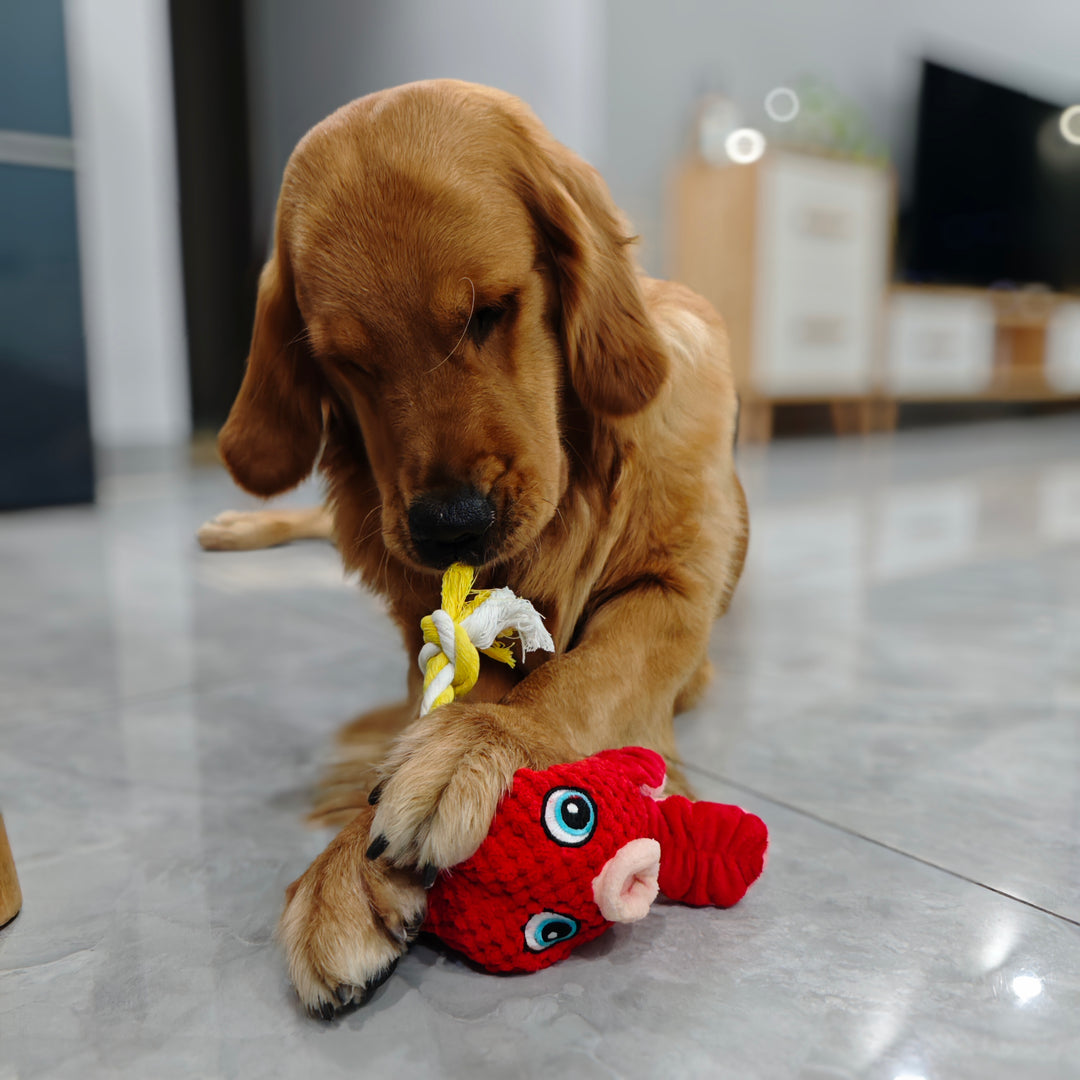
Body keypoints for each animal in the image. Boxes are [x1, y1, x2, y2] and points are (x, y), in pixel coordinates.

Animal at [200, 79, 743, 1015]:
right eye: (346, 361)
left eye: (491, 312)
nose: (450, 526)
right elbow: (434, 706)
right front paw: (347, 864)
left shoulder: (674, 599)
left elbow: (578, 676)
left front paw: (482, 746)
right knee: (308, 522)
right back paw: (229, 528)